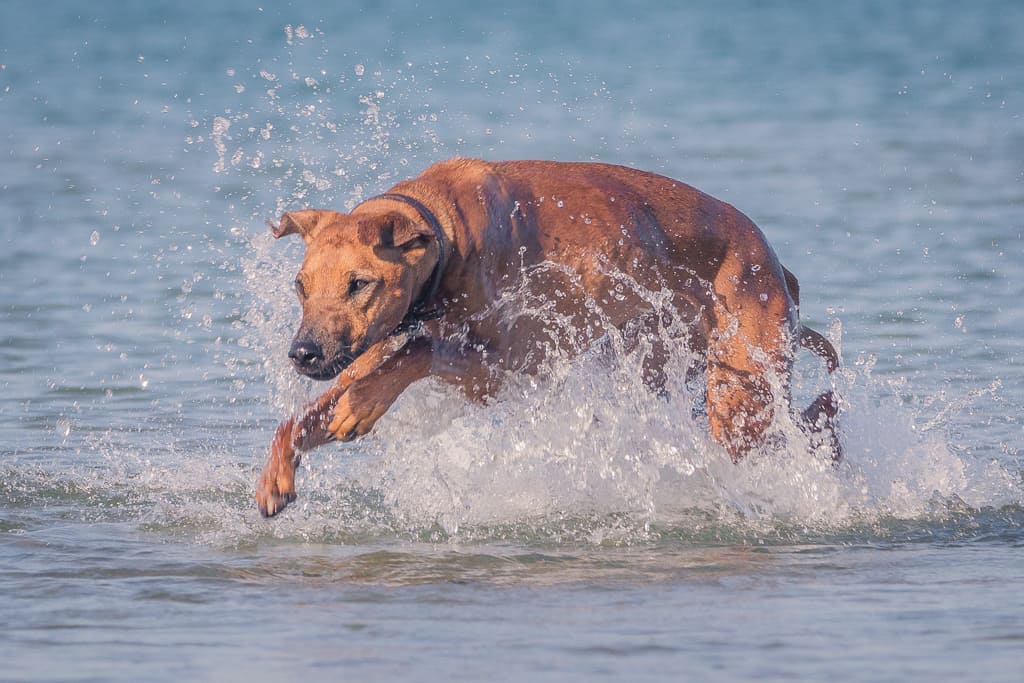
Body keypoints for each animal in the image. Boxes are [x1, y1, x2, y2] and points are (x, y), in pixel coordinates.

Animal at [256, 157, 839, 516]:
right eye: (300, 286)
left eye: (359, 284)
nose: (302, 354)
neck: (445, 233)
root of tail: (777, 267)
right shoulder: (362, 352)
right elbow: (305, 415)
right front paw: (276, 475)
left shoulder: (507, 364)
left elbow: (421, 352)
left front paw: (364, 404)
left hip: (741, 390)